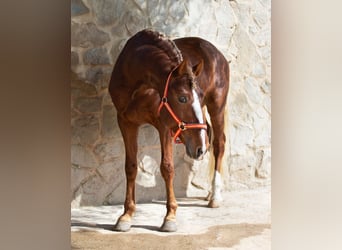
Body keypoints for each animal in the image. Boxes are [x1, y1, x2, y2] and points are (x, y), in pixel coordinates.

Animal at [108, 29, 228, 232]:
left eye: (199, 95)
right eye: (182, 98)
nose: (198, 150)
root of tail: (217, 53)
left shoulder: (164, 125)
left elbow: (167, 168)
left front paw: (170, 216)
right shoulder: (126, 122)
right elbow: (130, 167)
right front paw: (126, 215)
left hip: (216, 107)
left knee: (219, 144)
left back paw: (215, 197)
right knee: (209, 139)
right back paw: (210, 191)